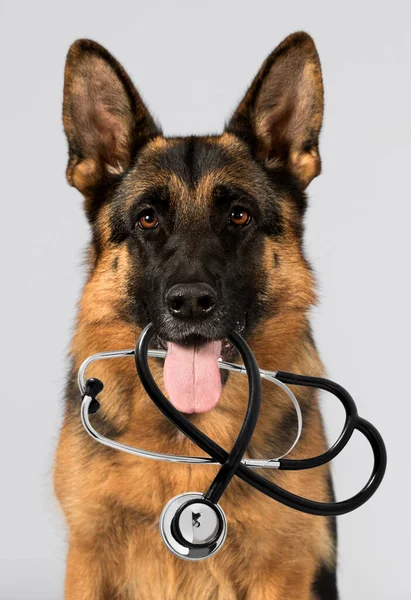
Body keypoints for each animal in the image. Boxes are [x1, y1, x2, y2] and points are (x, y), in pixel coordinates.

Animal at [54, 32, 340, 600]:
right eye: (147, 218)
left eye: (239, 215)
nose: (189, 303)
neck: (188, 432)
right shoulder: (89, 559)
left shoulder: (281, 571)